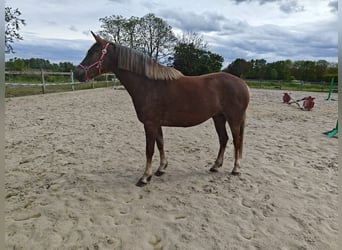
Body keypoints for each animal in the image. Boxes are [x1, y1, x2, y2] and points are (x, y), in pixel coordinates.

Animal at [73, 31, 250, 186]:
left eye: (94, 52)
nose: (77, 73)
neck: (149, 85)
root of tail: (242, 83)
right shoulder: (156, 124)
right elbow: (160, 144)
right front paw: (161, 169)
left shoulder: (150, 124)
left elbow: (149, 150)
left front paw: (145, 177)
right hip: (218, 117)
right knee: (223, 139)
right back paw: (215, 166)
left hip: (233, 118)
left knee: (237, 140)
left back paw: (236, 169)